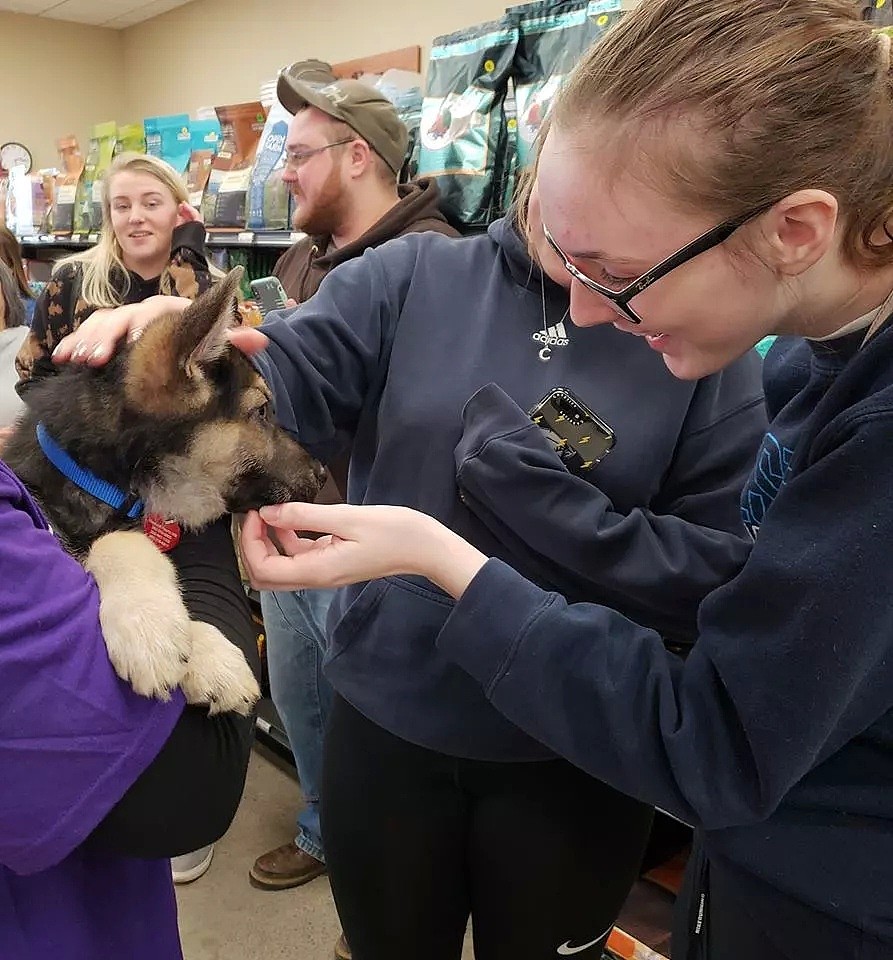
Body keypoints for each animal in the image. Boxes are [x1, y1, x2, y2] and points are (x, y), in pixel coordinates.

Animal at [3, 268, 324, 712]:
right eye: (261, 411)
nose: (322, 473)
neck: (96, 475)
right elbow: (121, 541)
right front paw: (149, 625)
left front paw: (207, 652)